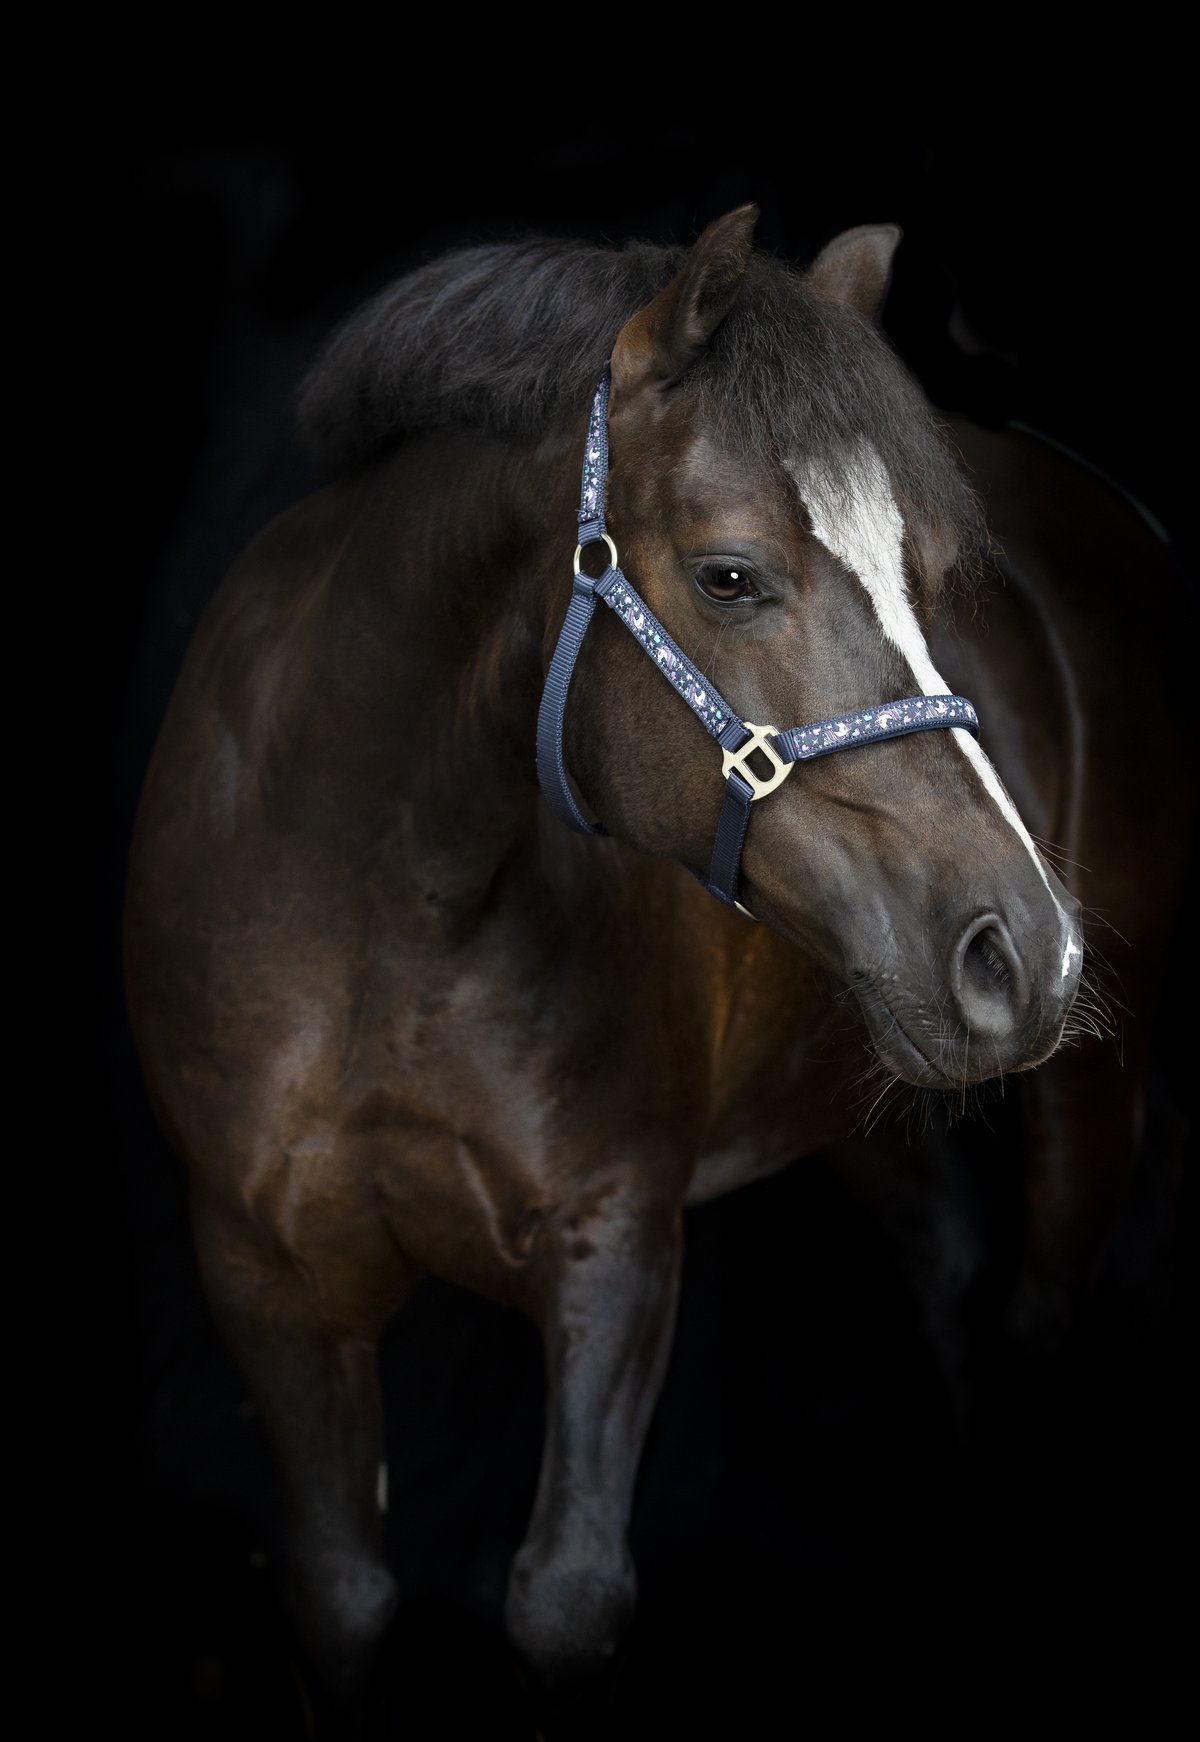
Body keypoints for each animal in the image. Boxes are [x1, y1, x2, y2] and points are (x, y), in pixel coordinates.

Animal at [123, 206, 1193, 1735]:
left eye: (936, 583)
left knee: (1046, 1319)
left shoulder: (614, 1242)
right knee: (947, 1268)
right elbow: (338, 1591)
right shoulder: (263, 1272)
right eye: (730, 574)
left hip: (1087, 1086)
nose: (1026, 948)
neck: (377, 903)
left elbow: (566, 1601)